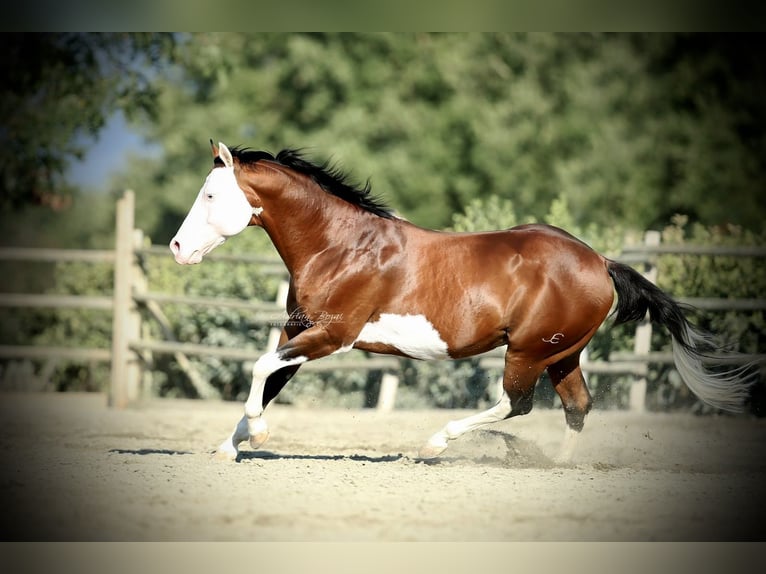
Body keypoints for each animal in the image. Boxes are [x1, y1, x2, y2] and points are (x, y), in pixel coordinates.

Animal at [170, 141, 754, 462]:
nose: (176, 248)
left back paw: (436, 444)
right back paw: (554, 466)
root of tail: (600, 262)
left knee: (516, 403)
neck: (341, 246)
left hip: (528, 351)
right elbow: (269, 378)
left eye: (211, 195)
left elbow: (259, 367)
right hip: (562, 354)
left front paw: (257, 434)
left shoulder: (333, 336)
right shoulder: (299, 330)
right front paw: (229, 446)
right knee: (577, 406)